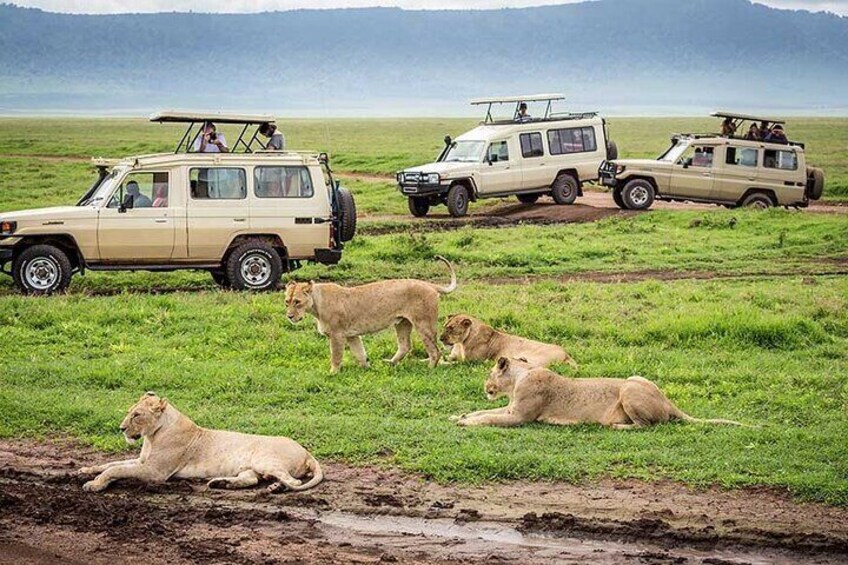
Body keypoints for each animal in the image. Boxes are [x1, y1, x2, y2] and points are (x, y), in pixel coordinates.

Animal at [79, 393, 323, 493]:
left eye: (137, 415)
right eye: (130, 411)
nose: (121, 428)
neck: (152, 436)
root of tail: (307, 452)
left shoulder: (155, 472)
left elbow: (115, 470)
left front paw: (94, 485)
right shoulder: (142, 461)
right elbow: (110, 464)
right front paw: (85, 470)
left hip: (265, 461)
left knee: (294, 481)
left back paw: (276, 487)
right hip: (251, 468)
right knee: (251, 480)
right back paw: (222, 484)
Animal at [285, 256, 457, 373]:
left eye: (297, 302)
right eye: (287, 302)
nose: (289, 316)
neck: (316, 304)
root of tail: (429, 284)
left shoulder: (337, 334)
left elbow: (336, 355)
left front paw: (332, 373)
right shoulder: (351, 335)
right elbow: (360, 353)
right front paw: (366, 368)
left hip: (423, 323)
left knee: (435, 350)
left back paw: (429, 368)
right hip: (403, 322)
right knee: (405, 346)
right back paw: (390, 363)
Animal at [440, 314, 577, 369]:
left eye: (451, 328)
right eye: (444, 326)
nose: (440, 338)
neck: (460, 343)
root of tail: (566, 353)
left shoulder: (470, 362)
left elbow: (453, 363)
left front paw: (442, 363)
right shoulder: (454, 355)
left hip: (539, 358)